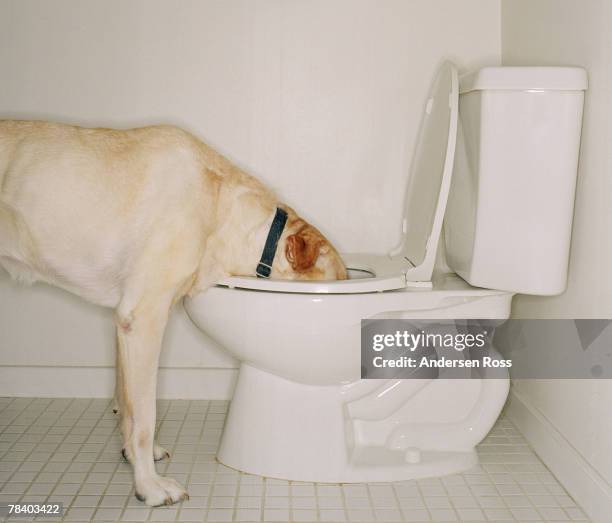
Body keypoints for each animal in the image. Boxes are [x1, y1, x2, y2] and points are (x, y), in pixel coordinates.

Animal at [0, 121, 344, 506]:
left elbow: (127, 405)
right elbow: (145, 416)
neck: (219, 209)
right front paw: (149, 485)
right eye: (342, 279)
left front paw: (135, 457)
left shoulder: (124, 321)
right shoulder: (145, 316)